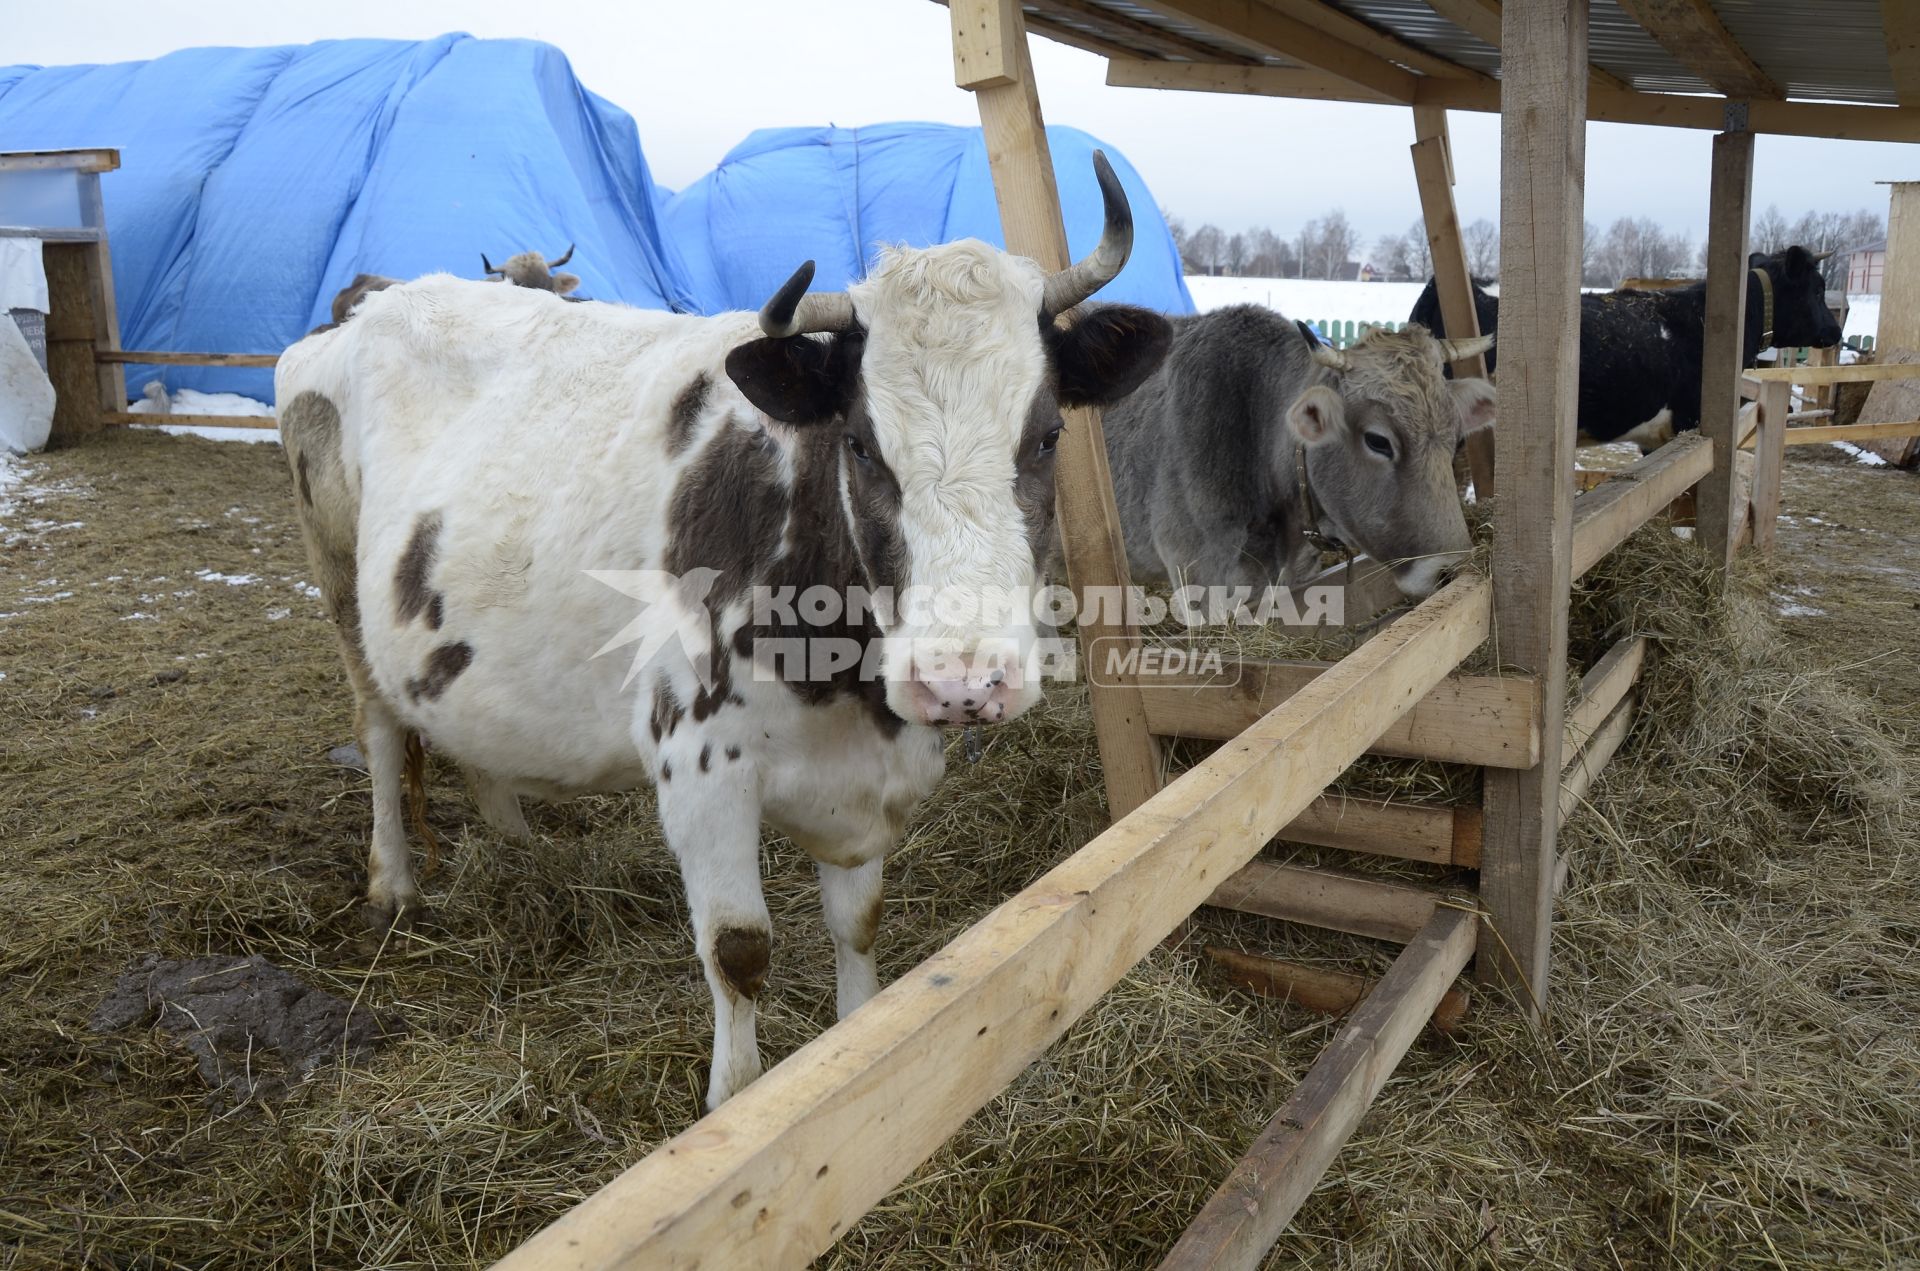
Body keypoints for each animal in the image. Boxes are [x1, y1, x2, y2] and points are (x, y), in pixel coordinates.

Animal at [270, 154, 1167, 1113]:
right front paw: (735, 1101)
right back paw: (393, 883)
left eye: (1048, 434)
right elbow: (739, 950)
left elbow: (859, 925)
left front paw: (852, 1049)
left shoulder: (870, 780)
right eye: (860, 443)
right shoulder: (699, 761)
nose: (963, 682)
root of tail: (360, 314)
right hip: (341, 590)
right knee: (379, 730)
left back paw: (515, 845)